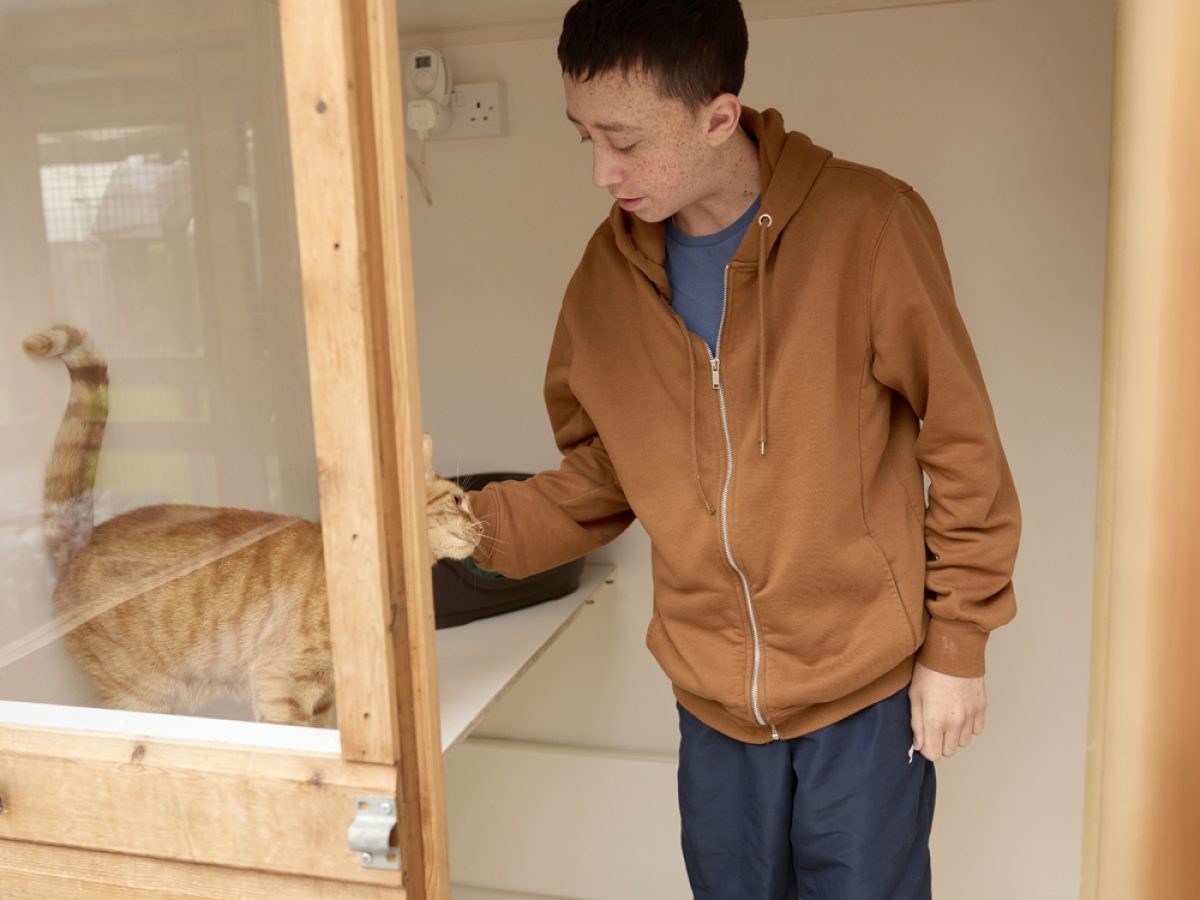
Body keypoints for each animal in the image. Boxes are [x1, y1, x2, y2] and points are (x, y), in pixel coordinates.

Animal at [25, 328, 480, 729]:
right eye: (460, 500)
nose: (480, 526)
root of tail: (82, 542)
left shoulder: (325, 698)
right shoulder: (282, 684)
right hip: (145, 696)